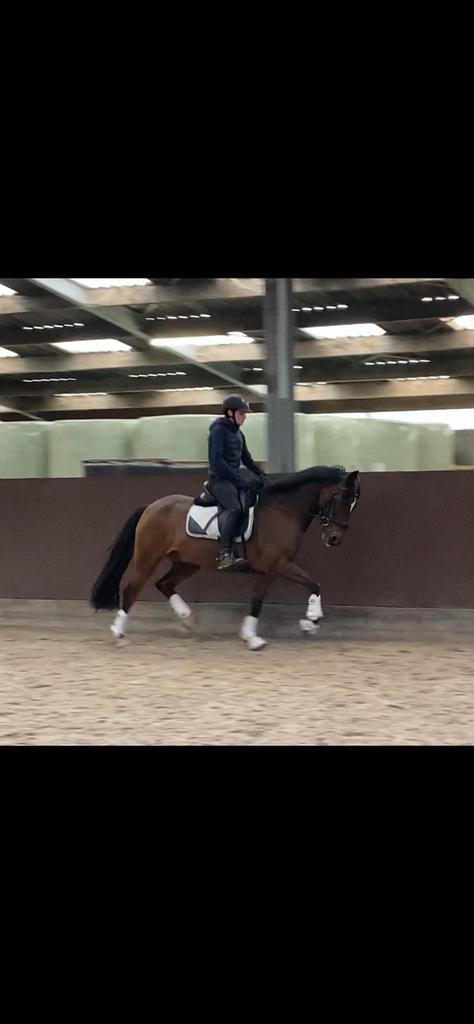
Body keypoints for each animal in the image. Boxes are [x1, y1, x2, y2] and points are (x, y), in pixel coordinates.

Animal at [91, 466, 360, 650]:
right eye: (341, 498)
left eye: (353, 504)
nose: (334, 538)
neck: (283, 511)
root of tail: (151, 506)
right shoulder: (278, 564)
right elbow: (313, 584)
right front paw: (311, 620)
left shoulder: (270, 570)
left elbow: (257, 600)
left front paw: (253, 636)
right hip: (148, 557)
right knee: (132, 588)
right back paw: (119, 632)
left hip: (187, 562)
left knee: (164, 584)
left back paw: (187, 618)